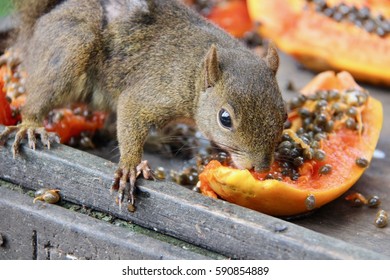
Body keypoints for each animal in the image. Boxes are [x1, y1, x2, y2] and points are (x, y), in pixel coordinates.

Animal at [0, 0, 286, 209]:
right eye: (224, 118)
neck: (194, 70)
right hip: (71, 48)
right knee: (42, 96)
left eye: (283, 115)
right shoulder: (151, 92)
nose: (260, 169)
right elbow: (131, 114)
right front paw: (129, 167)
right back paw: (30, 126)